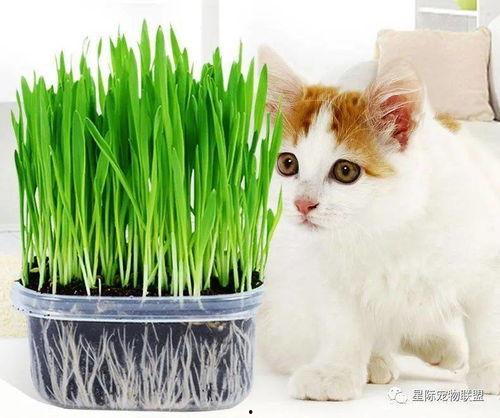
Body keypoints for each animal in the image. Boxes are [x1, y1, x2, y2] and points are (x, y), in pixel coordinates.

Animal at [257, 46, 500, 401]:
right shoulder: (325, 271)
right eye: (287, 164)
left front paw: (491, 367)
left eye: (345, 171)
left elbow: (489, 320)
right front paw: (336, 370)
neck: (387, 226)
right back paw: (386, 359)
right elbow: (343, 323)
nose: (303, 204)